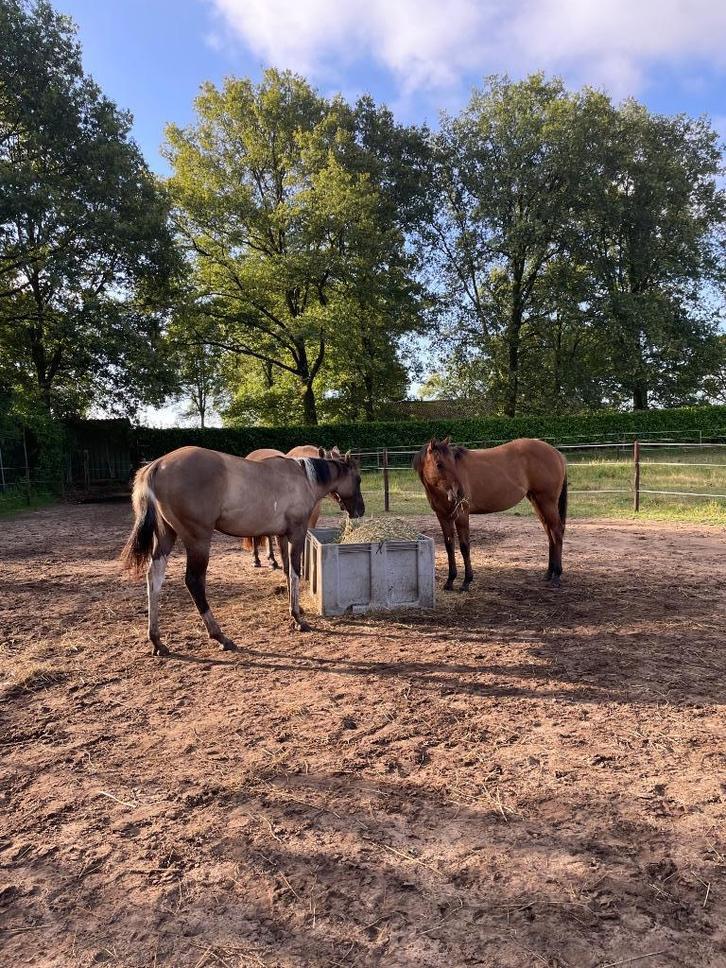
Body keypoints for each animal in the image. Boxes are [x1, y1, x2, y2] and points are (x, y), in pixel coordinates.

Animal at [120, 445, 364, 655]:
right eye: (358, 479)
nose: (360, 510)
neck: (303, 477)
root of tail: (157, 465)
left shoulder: (281, 536)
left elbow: (287, 571)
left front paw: (295, 608)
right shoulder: (297, 533)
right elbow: (295, 571)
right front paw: (297, 618)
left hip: (166, 536)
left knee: (154, 578)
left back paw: (156, 640)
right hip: (198, 540)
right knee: (194, 581)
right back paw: (219, 636)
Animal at [414, 437, 567, 591]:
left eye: (452, 462)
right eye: (439, 464)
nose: (460, 493)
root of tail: (556, 453)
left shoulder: (461, 515)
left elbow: (464, 546)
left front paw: (466, 581)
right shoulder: (443, 516)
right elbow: (449, 546)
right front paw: (450, 581)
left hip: (547, 502)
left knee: (557, 532)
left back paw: (557, 575)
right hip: (537, 502)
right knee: (550, 534)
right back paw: (549, 573)